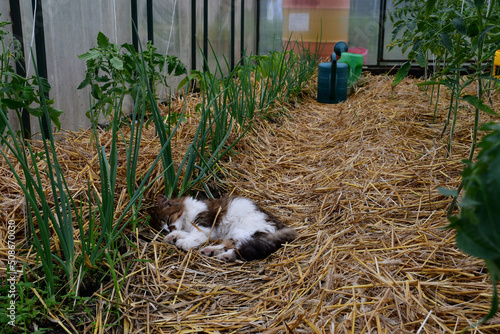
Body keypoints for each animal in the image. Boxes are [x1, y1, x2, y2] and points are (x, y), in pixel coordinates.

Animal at [152, 194, 296, 262]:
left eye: (168, 220)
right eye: (163, 229)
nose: (169, 229)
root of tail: (282, 226)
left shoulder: (203, 227)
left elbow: (192, 237)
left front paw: (182, 243)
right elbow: (184, 234)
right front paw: (172, 237)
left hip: (243, 230)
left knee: (237, 248)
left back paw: (223, 256)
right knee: (228, 246)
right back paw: (210, 251)